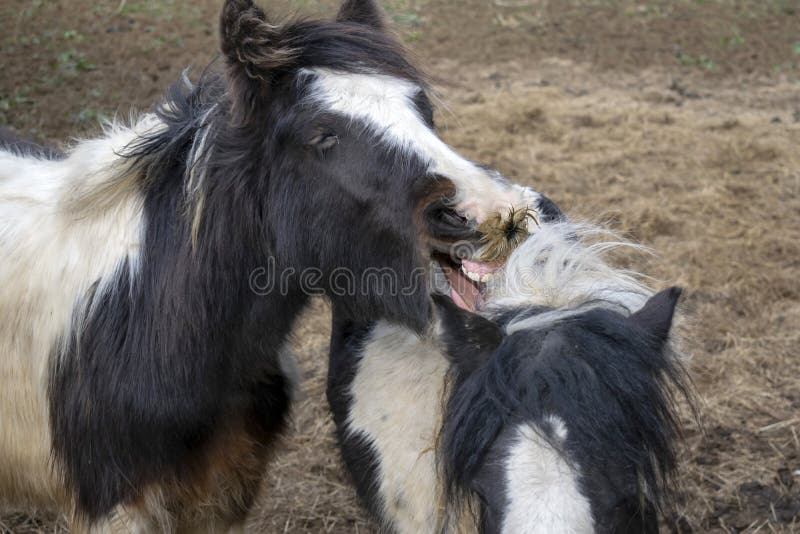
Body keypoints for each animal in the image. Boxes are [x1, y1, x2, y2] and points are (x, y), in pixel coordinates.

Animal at [3, 0, 536, 532]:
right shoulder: (114, 507)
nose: (496, 212)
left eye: (423, 109)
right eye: (321, 137)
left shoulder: (221, 494)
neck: (143, 316)